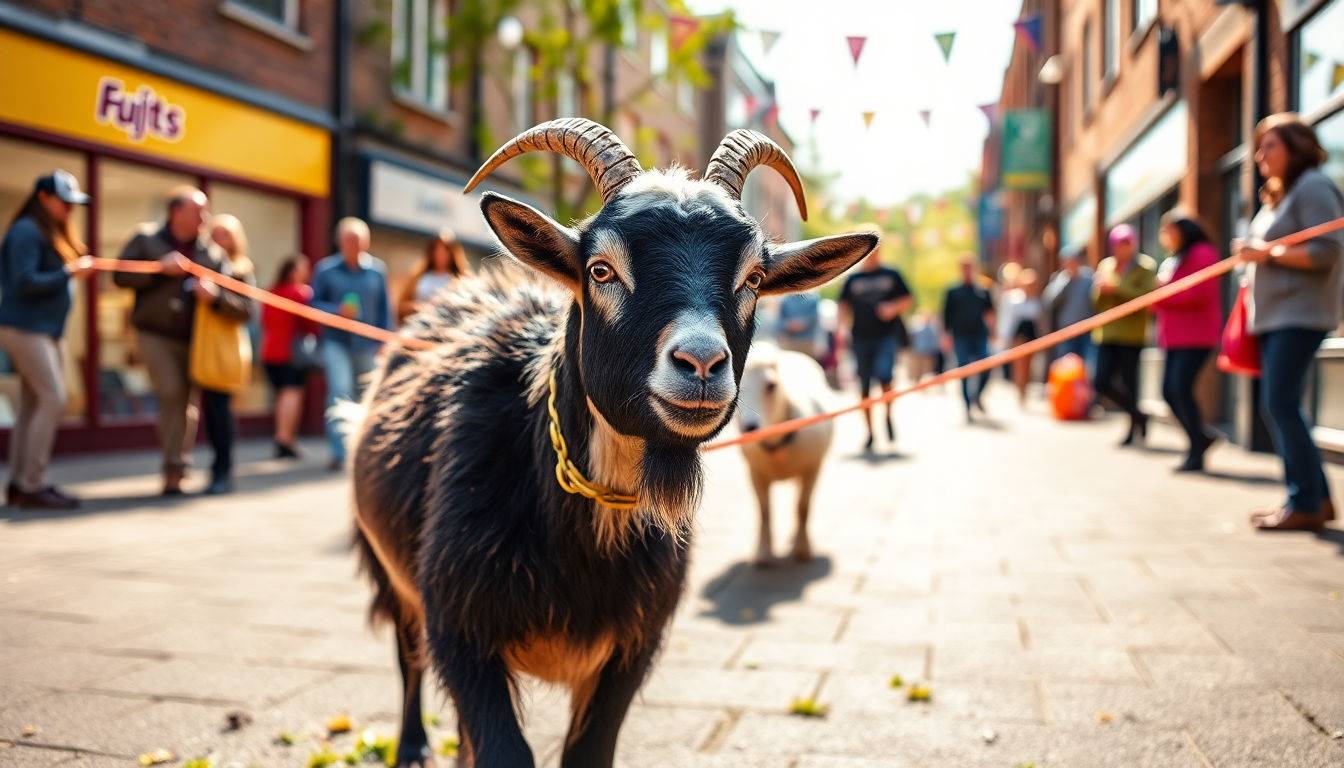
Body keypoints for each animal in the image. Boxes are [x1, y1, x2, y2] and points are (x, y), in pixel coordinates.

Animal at [736, 342, 835, 567]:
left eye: (771, 385)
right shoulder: (756, 473)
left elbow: (802, 507)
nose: (750, 428)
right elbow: (764, 511)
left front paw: (803, 549)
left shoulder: (812, 468)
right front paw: (763, 553)